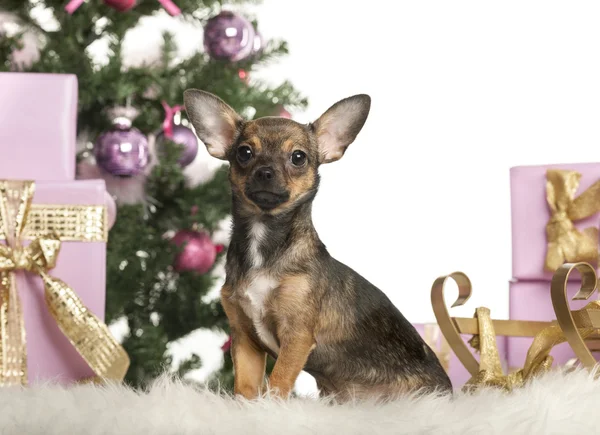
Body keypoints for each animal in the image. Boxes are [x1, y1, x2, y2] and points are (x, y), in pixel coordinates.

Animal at [185, 90, 452, 404]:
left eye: (298, 157)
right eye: (244, 153)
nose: (265, 172)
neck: (264, 242)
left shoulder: (297, 337)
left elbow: (277, 383)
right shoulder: (244, 339)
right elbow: (246, 390)